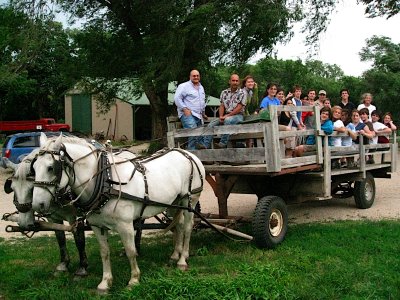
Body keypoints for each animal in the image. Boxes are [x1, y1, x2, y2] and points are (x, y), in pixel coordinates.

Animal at [31, 134, 205, 292]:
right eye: (34, 168)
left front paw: (134, 280)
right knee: (179, 225)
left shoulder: (125, 225)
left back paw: (182, 259)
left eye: (51, 168)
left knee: (188, 227)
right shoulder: (97, 226)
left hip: (190, 200)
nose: (37, 204)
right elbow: (104, 252)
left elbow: (130, 251)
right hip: (174, 203)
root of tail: (187, 153)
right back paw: (175, 255)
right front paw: (105, 282)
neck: (105, 182)